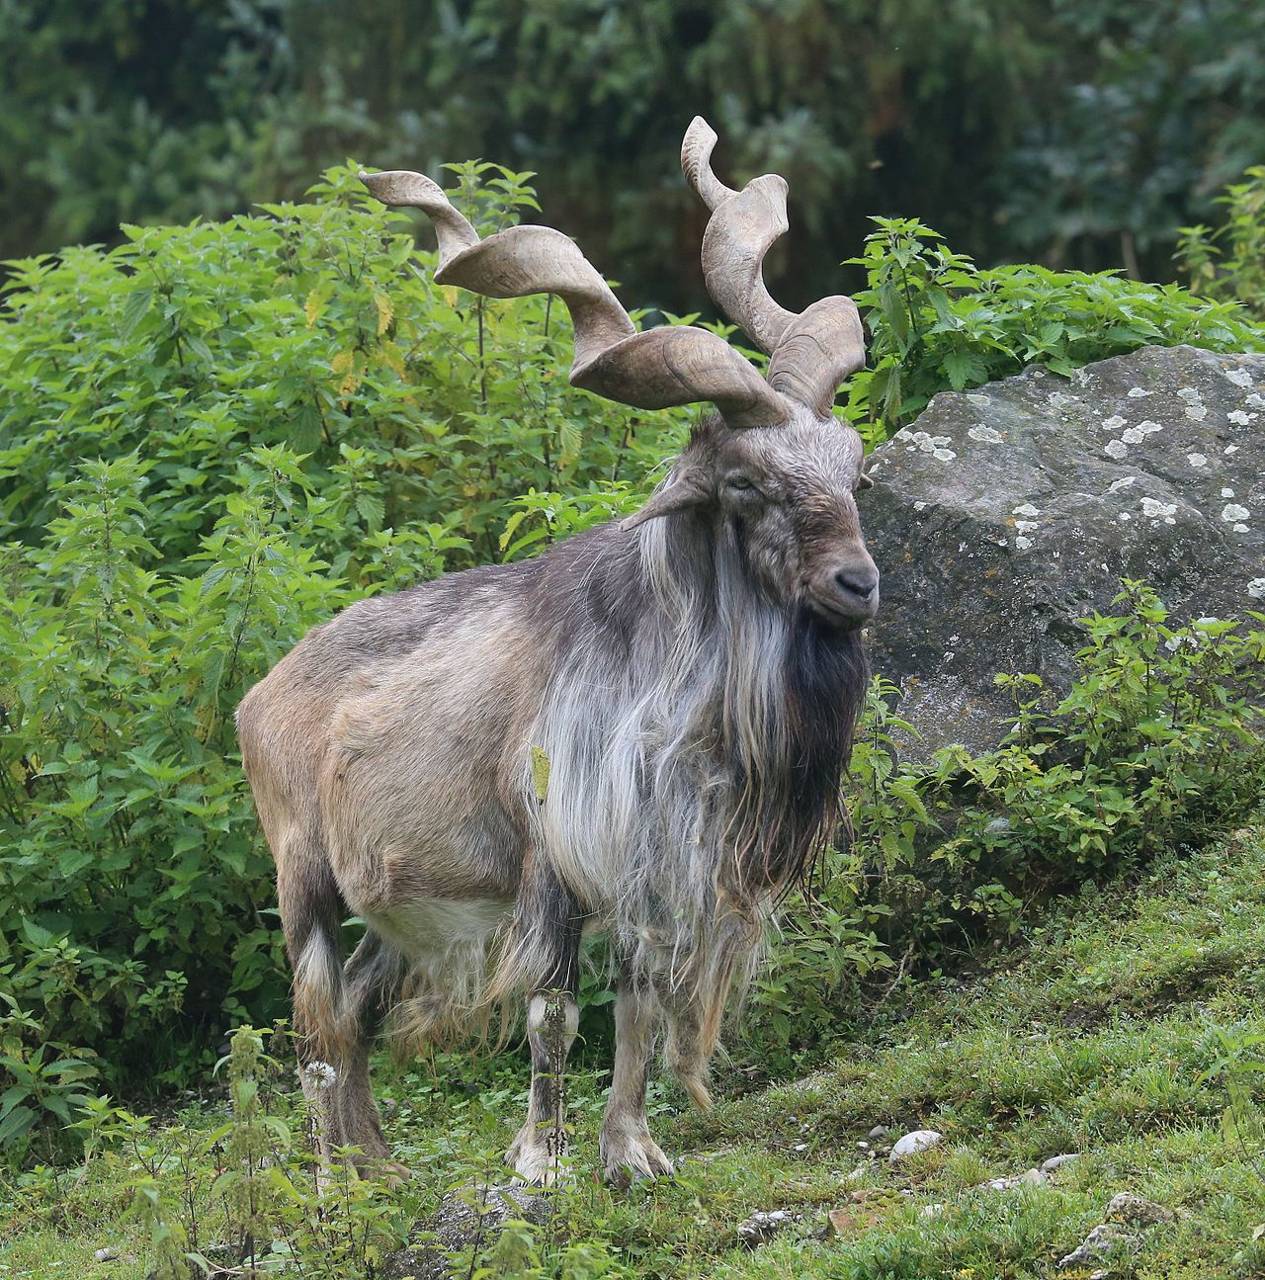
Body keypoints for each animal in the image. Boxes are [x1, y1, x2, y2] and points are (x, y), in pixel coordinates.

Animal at [241, 120, 886, 1177]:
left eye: (852, 472)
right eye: (747, 485)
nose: (855, 585)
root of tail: (260, 695)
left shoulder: (651, 867)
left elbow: (636, 1004)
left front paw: (632, 1153)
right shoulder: (553, 859)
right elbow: (553, 1014)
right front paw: (538, 1165)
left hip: (407, 907)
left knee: (359, 1009)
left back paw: (378, 1168)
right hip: (303, 877)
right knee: (316, 1025)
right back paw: (335, 1181)